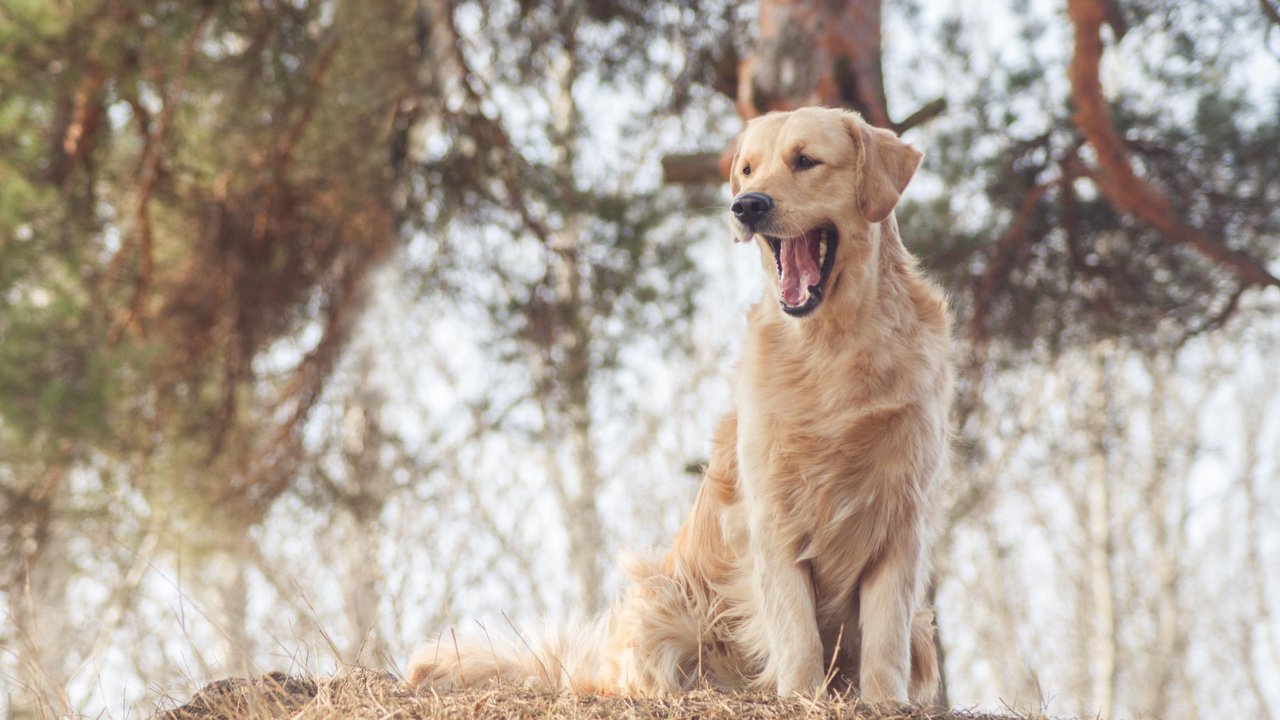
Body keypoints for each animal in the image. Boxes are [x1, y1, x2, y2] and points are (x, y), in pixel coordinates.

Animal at [407, 105, 952, 702]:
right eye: (748, 169)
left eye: (806, 160)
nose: (747, 206)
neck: (834, 344)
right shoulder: (772, 515)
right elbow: (797, 631)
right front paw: (802, 697)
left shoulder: (901, 517)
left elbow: (884, 636)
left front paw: (884, 702)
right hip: (662, 600)